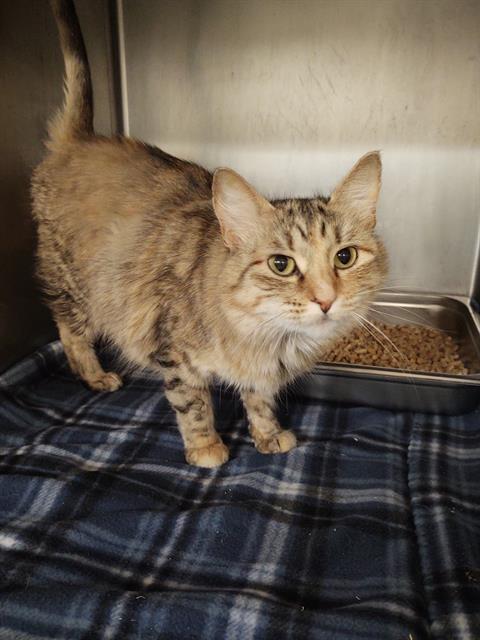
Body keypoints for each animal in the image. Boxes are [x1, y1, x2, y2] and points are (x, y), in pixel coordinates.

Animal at [31, 1, 386, 470]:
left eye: (344, 257)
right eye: (281, 264)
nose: (326, 299)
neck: (271, 339)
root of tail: (82, 140)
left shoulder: (260, 377)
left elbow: (260, 402)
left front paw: (268, 435)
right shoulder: (174, 355)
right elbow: (193, 405)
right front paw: (206, 448)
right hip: (77, 287)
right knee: (69, 332)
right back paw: (95, 375)